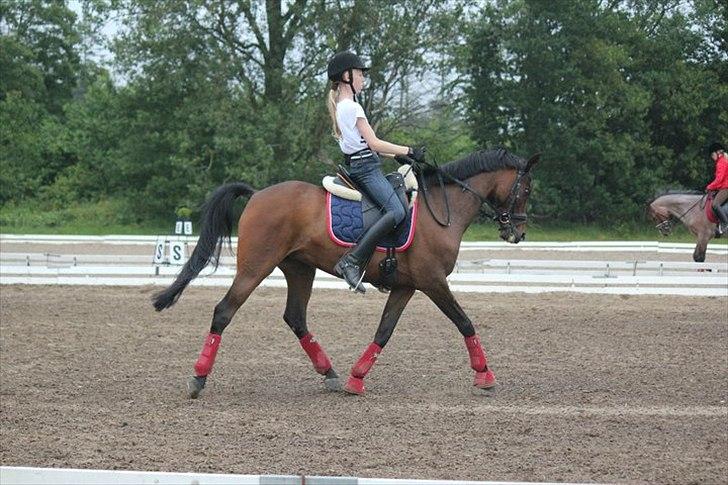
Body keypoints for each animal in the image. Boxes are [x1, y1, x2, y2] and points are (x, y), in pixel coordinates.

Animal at [153, 148, 540, 397]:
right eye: (526, 188)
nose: (517, 233)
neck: (442, 209)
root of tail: (257, 194)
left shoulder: (407, 286)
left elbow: (384, 331)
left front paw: (357, 379)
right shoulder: (433, 281)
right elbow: (464, 322)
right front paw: (485, 376)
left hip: (299, 268)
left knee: (295, 317)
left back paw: (332, 374)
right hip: (255, 266)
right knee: (224, 311)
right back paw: (198, 378)